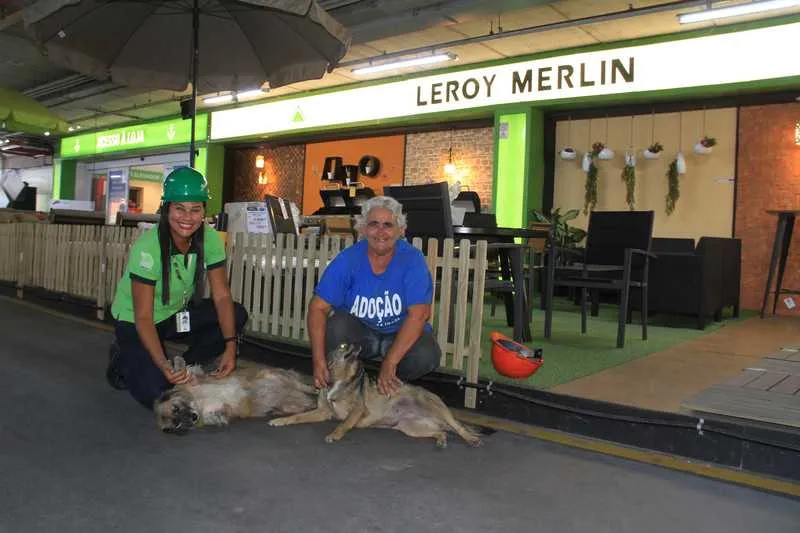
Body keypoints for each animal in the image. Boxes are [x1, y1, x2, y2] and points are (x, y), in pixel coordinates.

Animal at [155, 360, 318, 434]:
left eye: (176, 408)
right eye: (177, 424)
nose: (193, 417)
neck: (198, 402)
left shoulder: (198, 380)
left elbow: (186, 373)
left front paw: (178, 364)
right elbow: (220, 415)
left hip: (275, 376)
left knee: (303, 387)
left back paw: (314, 389)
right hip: (290, 403)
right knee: (306, 403)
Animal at [268, 342, 482, 446]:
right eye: (343, 346)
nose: (357, 344)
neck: (338, 380)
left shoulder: (357, 411)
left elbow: (343, 424)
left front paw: (334, 435)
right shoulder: (322, 412)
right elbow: (297, 417)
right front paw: (281, 420)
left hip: (437, 408)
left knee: (459, 428)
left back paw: (471, 439)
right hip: (411, 427)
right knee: (441, 432)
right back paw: (441, 439)